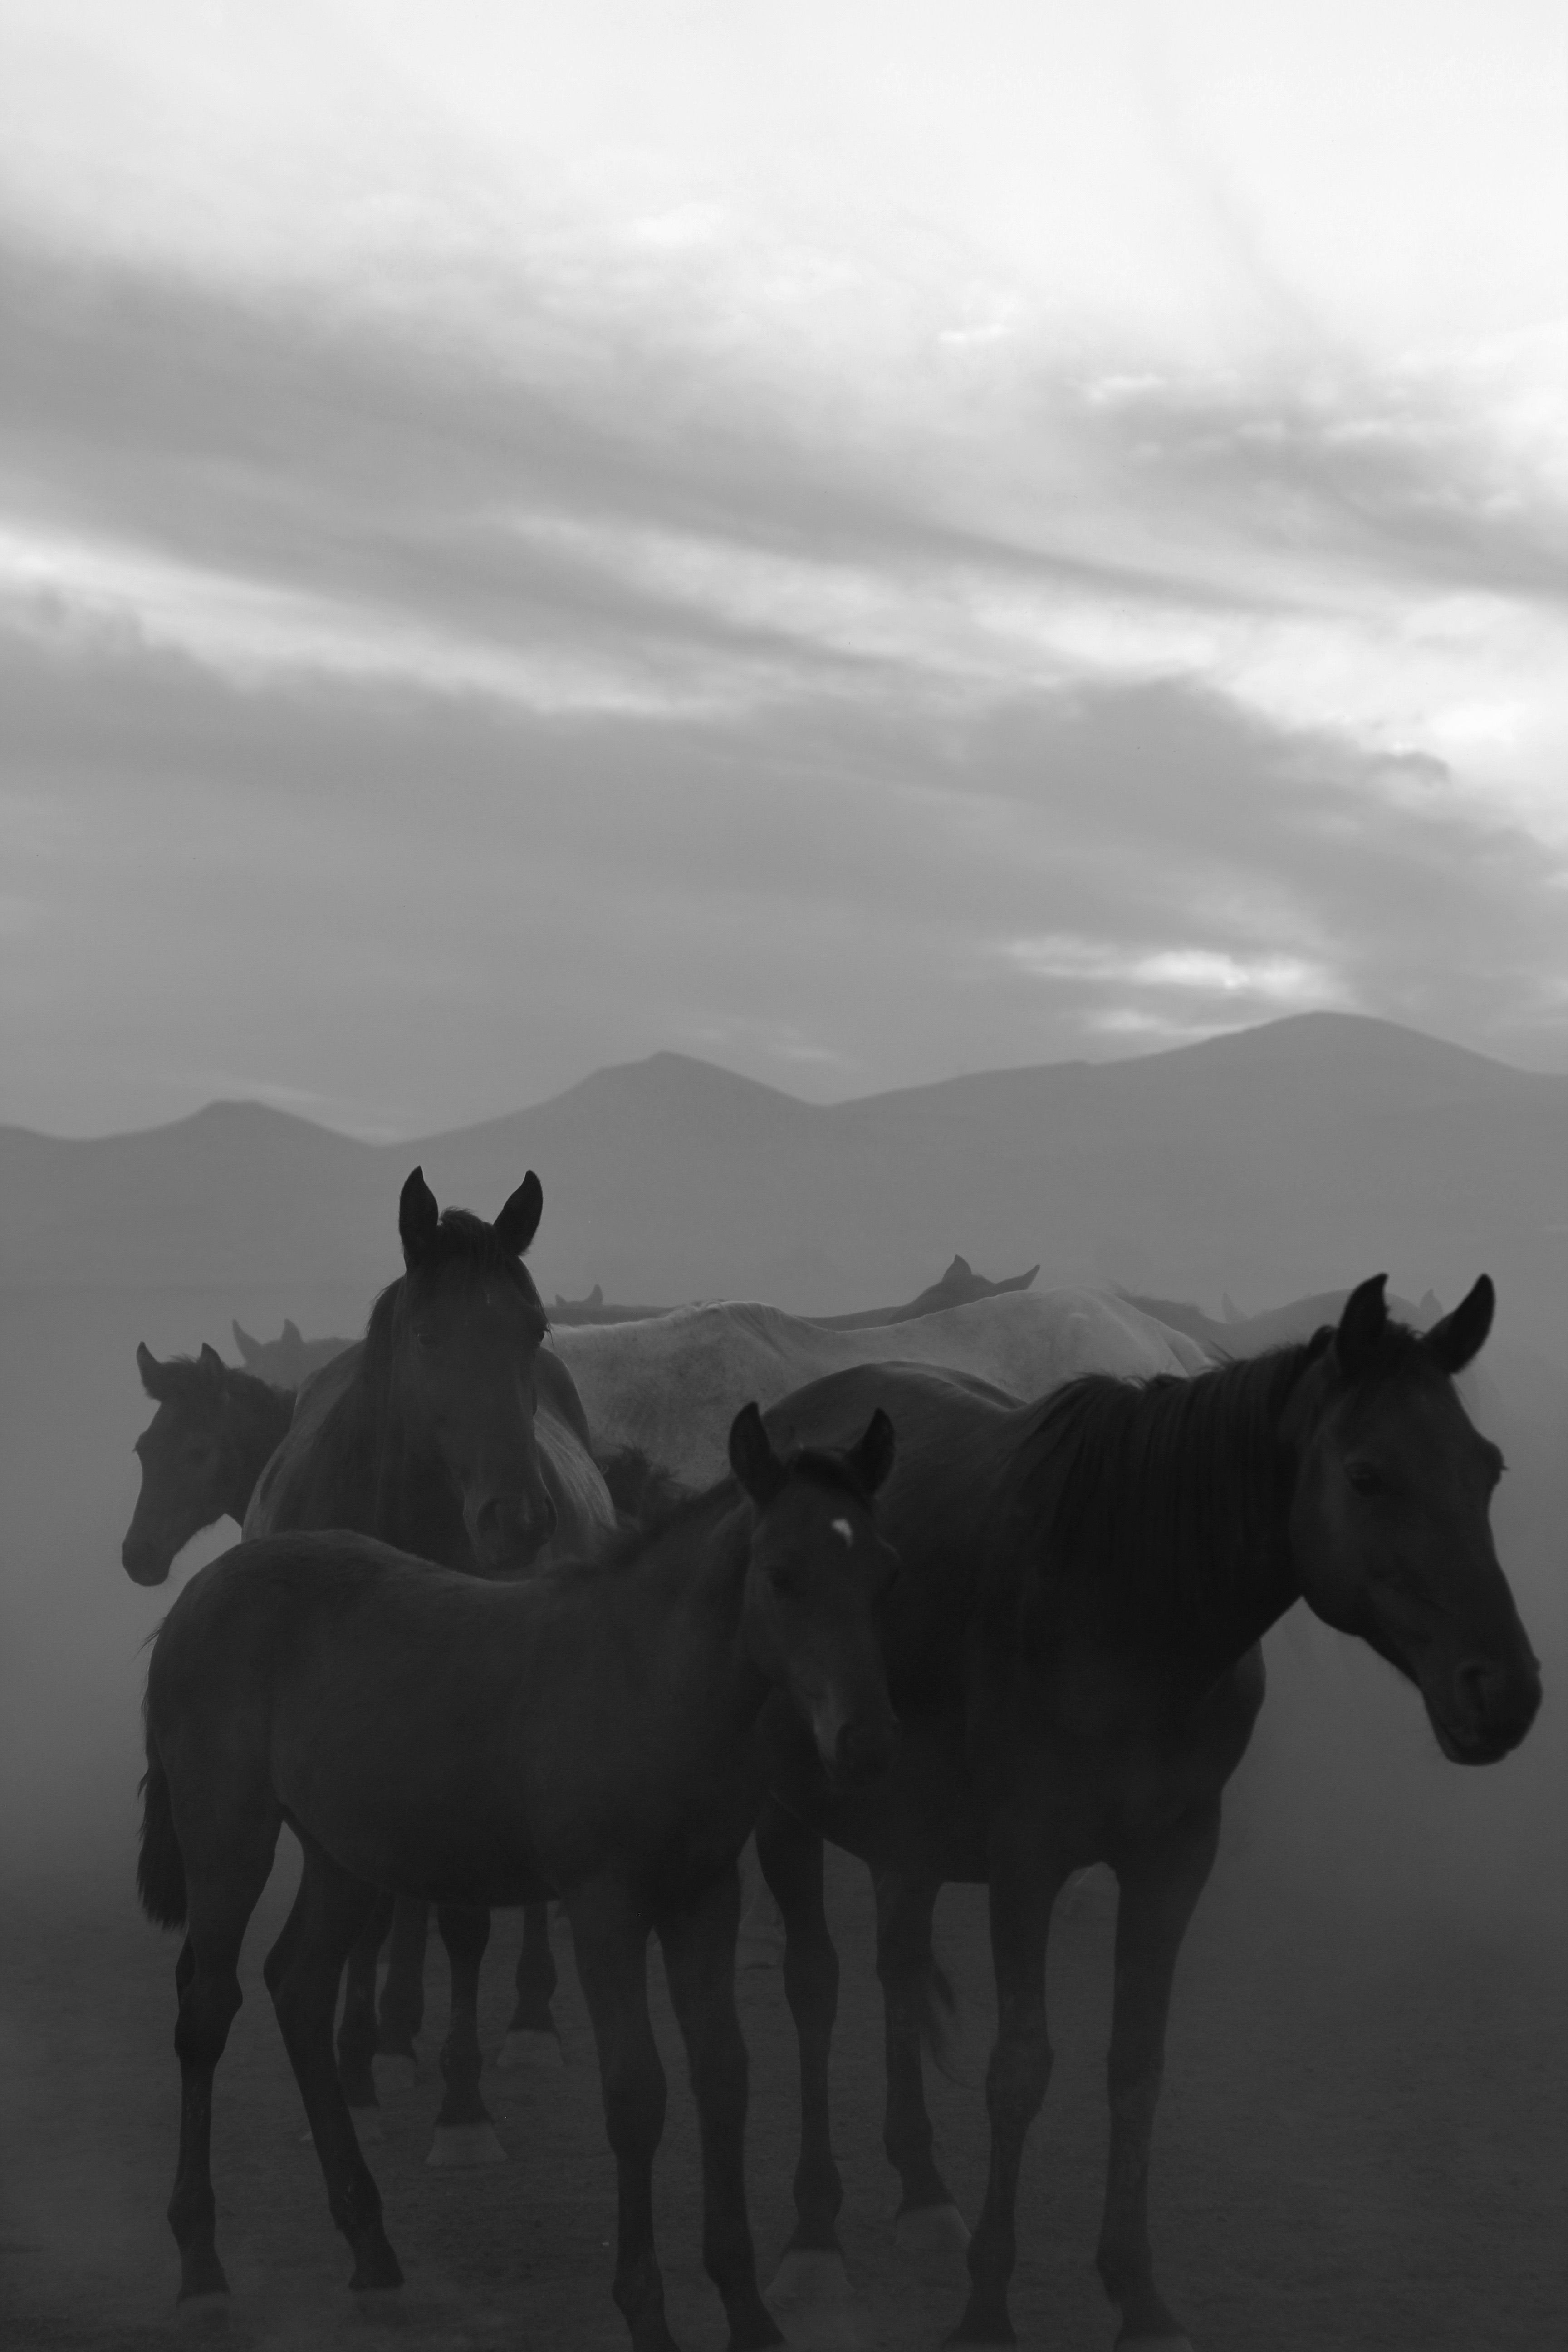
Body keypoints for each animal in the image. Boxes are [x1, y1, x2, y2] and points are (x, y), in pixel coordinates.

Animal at [137, 1404, 901, 2351]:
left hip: (341, 1853)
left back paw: (373, 2250)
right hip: (227, 1838)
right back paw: (202, 2271)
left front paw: (750, 2311)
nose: (866, 1740)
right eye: (782, 1573)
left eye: (883, 1571)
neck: (648, 1677)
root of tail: (200, 1592)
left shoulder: (703, 1896)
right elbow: (636, 2091)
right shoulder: (604, 1901)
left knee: (299, 1986)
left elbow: (724, 2075)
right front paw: (646, 2309)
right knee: (207, 2009)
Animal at [241, 1164, 620, 2162]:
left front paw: (463, 2105)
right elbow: (370, 1913)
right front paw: (361, 2066)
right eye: (428, 1333)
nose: (518, 1520)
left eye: (533, 1328)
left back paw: (523, 2021)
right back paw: (390, 2038)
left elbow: (461, 1921)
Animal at [747, 1274, 1541, 2349]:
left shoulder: (1174, 1856)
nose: (1505, 1690)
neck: (1123, 1601)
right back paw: (815, 2239)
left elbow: (1137, 2064)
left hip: (904, 1829)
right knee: (816, 1987)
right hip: (786, 1810)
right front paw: (987, 2310)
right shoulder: (1026, 1859)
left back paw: (922, 2190)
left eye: (1486, 1468)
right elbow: (1020, 2069)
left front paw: (1139, 2294)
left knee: (898, 1966)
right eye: (1368, 1474)